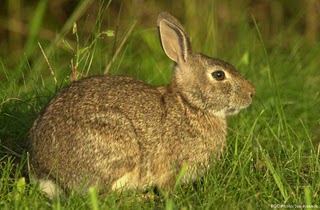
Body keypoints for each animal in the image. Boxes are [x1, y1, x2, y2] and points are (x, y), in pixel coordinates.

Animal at [30, 11, 255, 198]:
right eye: (219, 75)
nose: (251, 93)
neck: (190, 104)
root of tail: (47, 172)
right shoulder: (172, 166)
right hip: (118, 146)